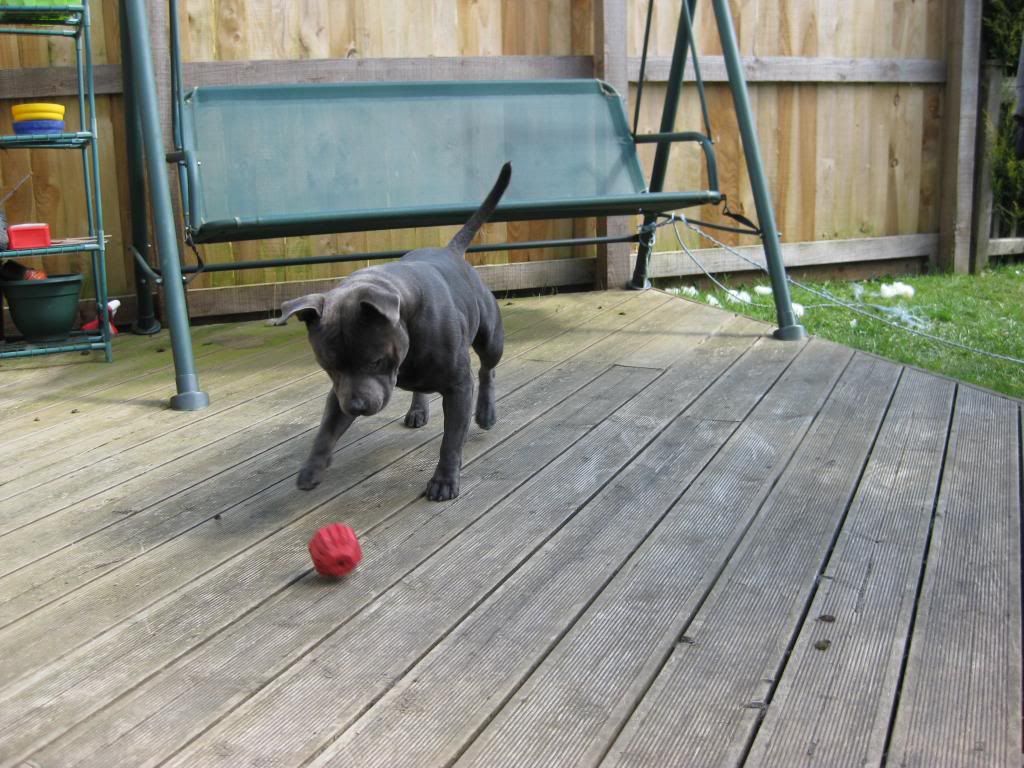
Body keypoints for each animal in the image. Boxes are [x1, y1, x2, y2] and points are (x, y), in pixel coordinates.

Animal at [274, 163, 509, 499]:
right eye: (329, 367)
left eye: (374, 361)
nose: (356, 407)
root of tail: (451, 251)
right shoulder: (340, 393)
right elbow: (326, 429)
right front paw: (312, 467)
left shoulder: (458, 387)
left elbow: (451, 440)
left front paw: (444, 480)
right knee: (423, 387)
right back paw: (418, 409)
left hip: (491, 339)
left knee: (487, 370)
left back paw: (486, 412)